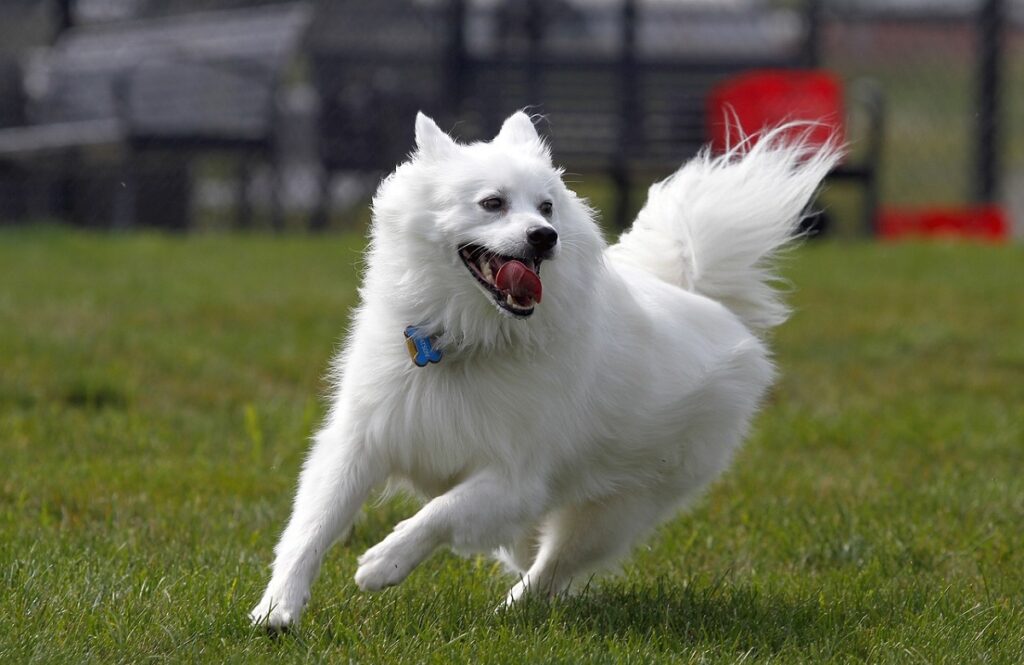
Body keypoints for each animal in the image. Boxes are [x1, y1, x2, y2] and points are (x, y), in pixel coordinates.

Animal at [249, 110, 839, 627]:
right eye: (492, 203)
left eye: (547, 207)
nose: (544, 237)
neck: (466, 338)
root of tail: (695, 295)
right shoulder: (359, 442)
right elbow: (310, 528)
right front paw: (276, 609)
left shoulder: (515, 478)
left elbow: (440, 513)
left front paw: (382, 564)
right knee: (526, 552)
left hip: (613, 510)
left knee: (550, 569)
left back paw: (509, 613)